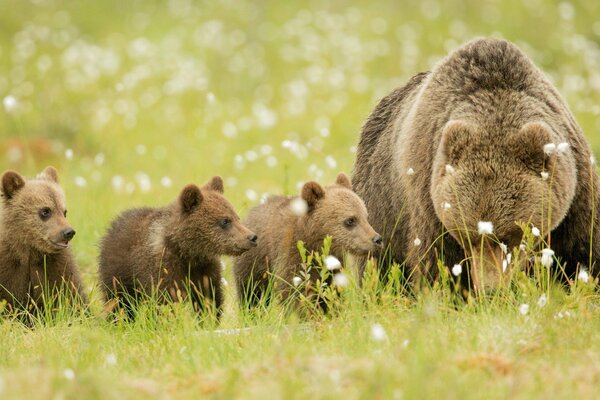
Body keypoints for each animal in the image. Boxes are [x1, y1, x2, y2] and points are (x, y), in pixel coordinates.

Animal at [0, 166, 86, 316]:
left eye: (64, 211)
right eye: (45, 211)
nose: (68, 232)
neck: (31, 252)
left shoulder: (57, 267)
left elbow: (72, 297)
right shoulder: (8, 268)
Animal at [99, 177, 258, 320]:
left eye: (236, 217)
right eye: (225, 221)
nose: (252, 237)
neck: (188, 252)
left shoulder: (204, 269)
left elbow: (209, 299)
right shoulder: (163, 268)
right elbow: (166, 301)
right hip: (119, 273)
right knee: (119, 302)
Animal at [232, 173, 382, 310]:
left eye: (366, 217)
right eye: (350, 220)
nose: (377, 239)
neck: (314, 243)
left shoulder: (333, 265)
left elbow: (331, 292)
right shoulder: (291, 255)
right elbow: (294, 293)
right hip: (254, 263)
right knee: (251, 293)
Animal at [354, 38, 596, 294]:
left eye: (509, 236)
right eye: (468, 237)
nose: (491, 290)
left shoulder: (576, 194)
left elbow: (583, 250)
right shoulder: (429, 196)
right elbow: (436, 261)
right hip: (382, 203)